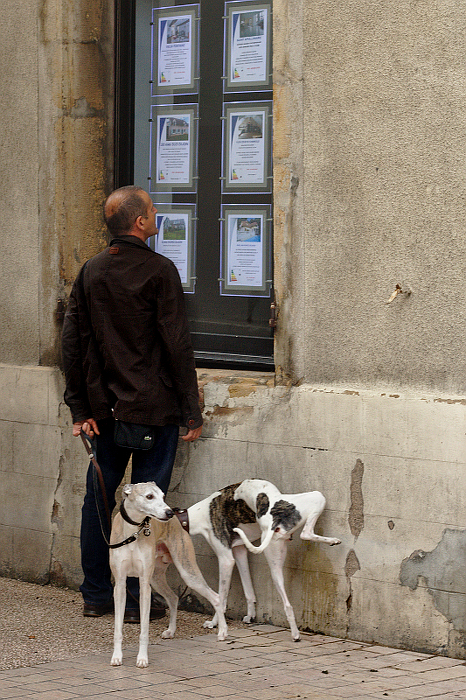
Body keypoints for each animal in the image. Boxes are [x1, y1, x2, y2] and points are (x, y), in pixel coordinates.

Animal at [108, 482, 228, 668]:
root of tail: (179, 520)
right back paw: (171, 630)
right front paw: (116, 657)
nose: (169, 512)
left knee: (215, 597)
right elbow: (118, 628)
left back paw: (222, 631)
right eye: (149, 496)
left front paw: (142, 658)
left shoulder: (144, 585)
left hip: (186, 570)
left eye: (163, 496)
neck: (133, 533)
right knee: (173, 597)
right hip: (156, 578)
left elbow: (144, 630)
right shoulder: (120, 585)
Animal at [187, 482, 342, 640]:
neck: (202, 513)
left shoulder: (234, 555)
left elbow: (234, 593)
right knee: (305, 535)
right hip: (316, 499)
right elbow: (230, 594)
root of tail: (274, 523)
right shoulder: (232, 557)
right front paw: (221, 622)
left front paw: (224, 621)